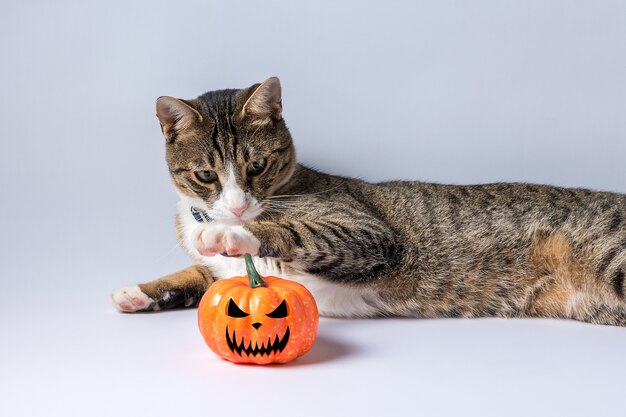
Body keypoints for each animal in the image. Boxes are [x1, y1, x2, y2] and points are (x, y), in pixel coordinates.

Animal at [111, 77, 624, 324]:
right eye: (206, 175)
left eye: (256, 166)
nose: (237, 207)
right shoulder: (214, 272)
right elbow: (194, 275)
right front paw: (138, 292)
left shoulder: (369, 234)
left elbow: (292, 231)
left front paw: (235, 231)